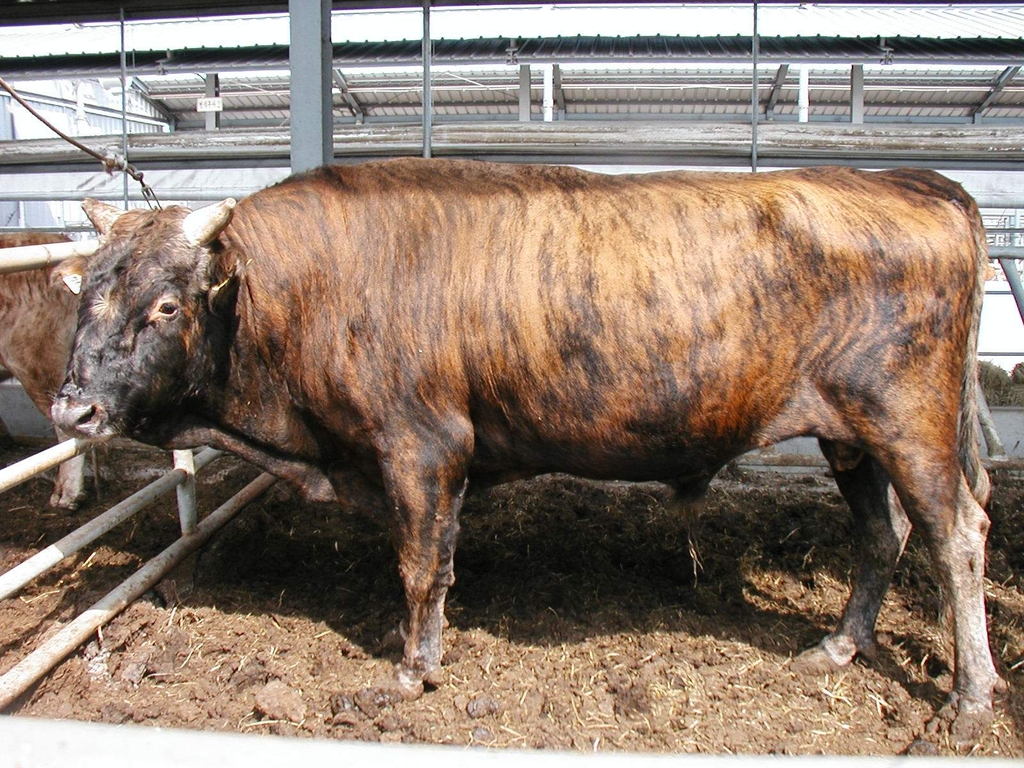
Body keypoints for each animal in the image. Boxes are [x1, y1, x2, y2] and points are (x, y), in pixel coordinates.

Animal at [48, 160, 999, 745]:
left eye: (166, 306)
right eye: (87, 293)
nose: (72, 406)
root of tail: (913, 181)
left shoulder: (422, 445)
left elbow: (421, 565)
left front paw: (412, 669)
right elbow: (429, 563)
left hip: (908, 425)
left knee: (956, 537)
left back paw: (970, 700)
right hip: (851, 437)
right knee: (883, 535)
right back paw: (837, 648)